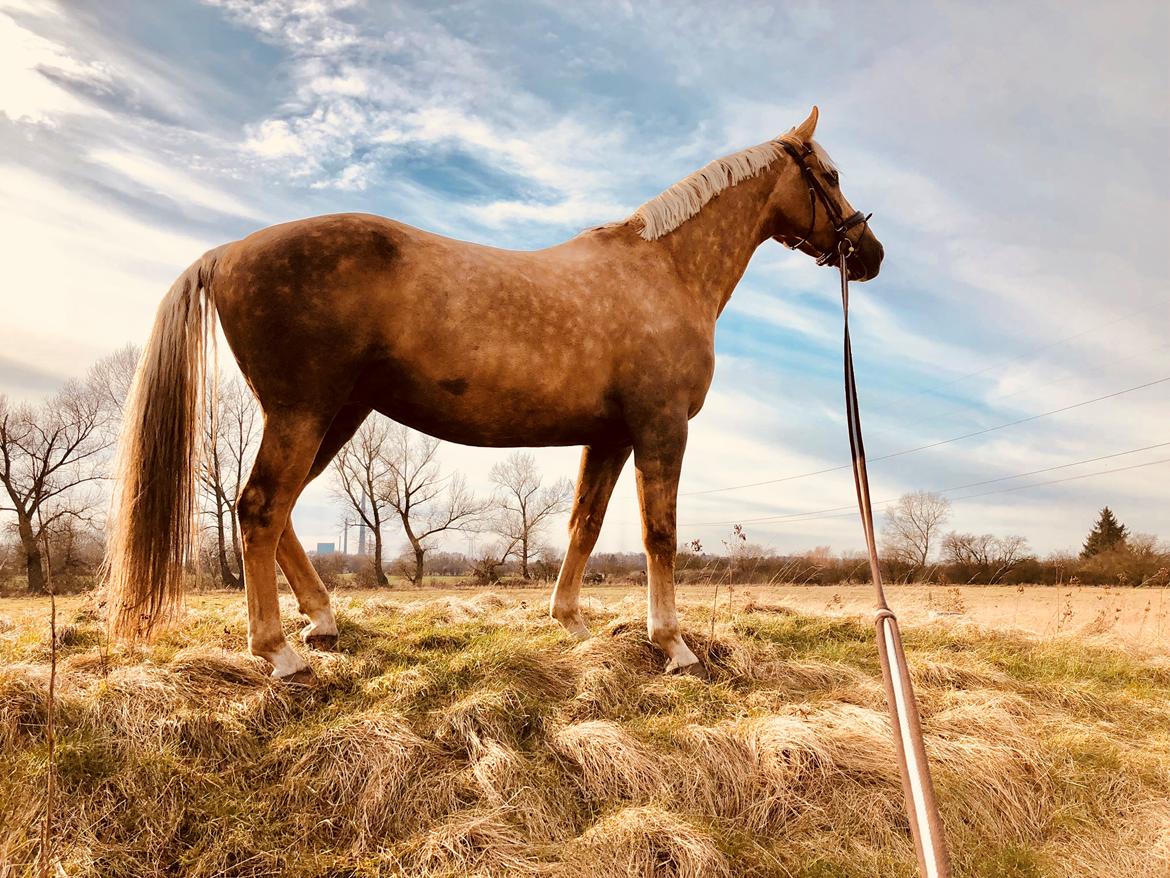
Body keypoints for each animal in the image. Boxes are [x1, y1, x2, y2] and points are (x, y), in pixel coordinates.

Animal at [107, 104, 879, 678]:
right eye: (831, 174)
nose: (868, 255)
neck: (663, 270)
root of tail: (226, 254)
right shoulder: (661, 427)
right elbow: (658, 534)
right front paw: (673, 644)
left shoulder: (609, 434)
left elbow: (584, 525)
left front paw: (570, 623)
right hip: (305, 411)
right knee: (261, 508)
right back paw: (278, 652)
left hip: (336, 414)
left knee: (280, 510)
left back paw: (321, 621)